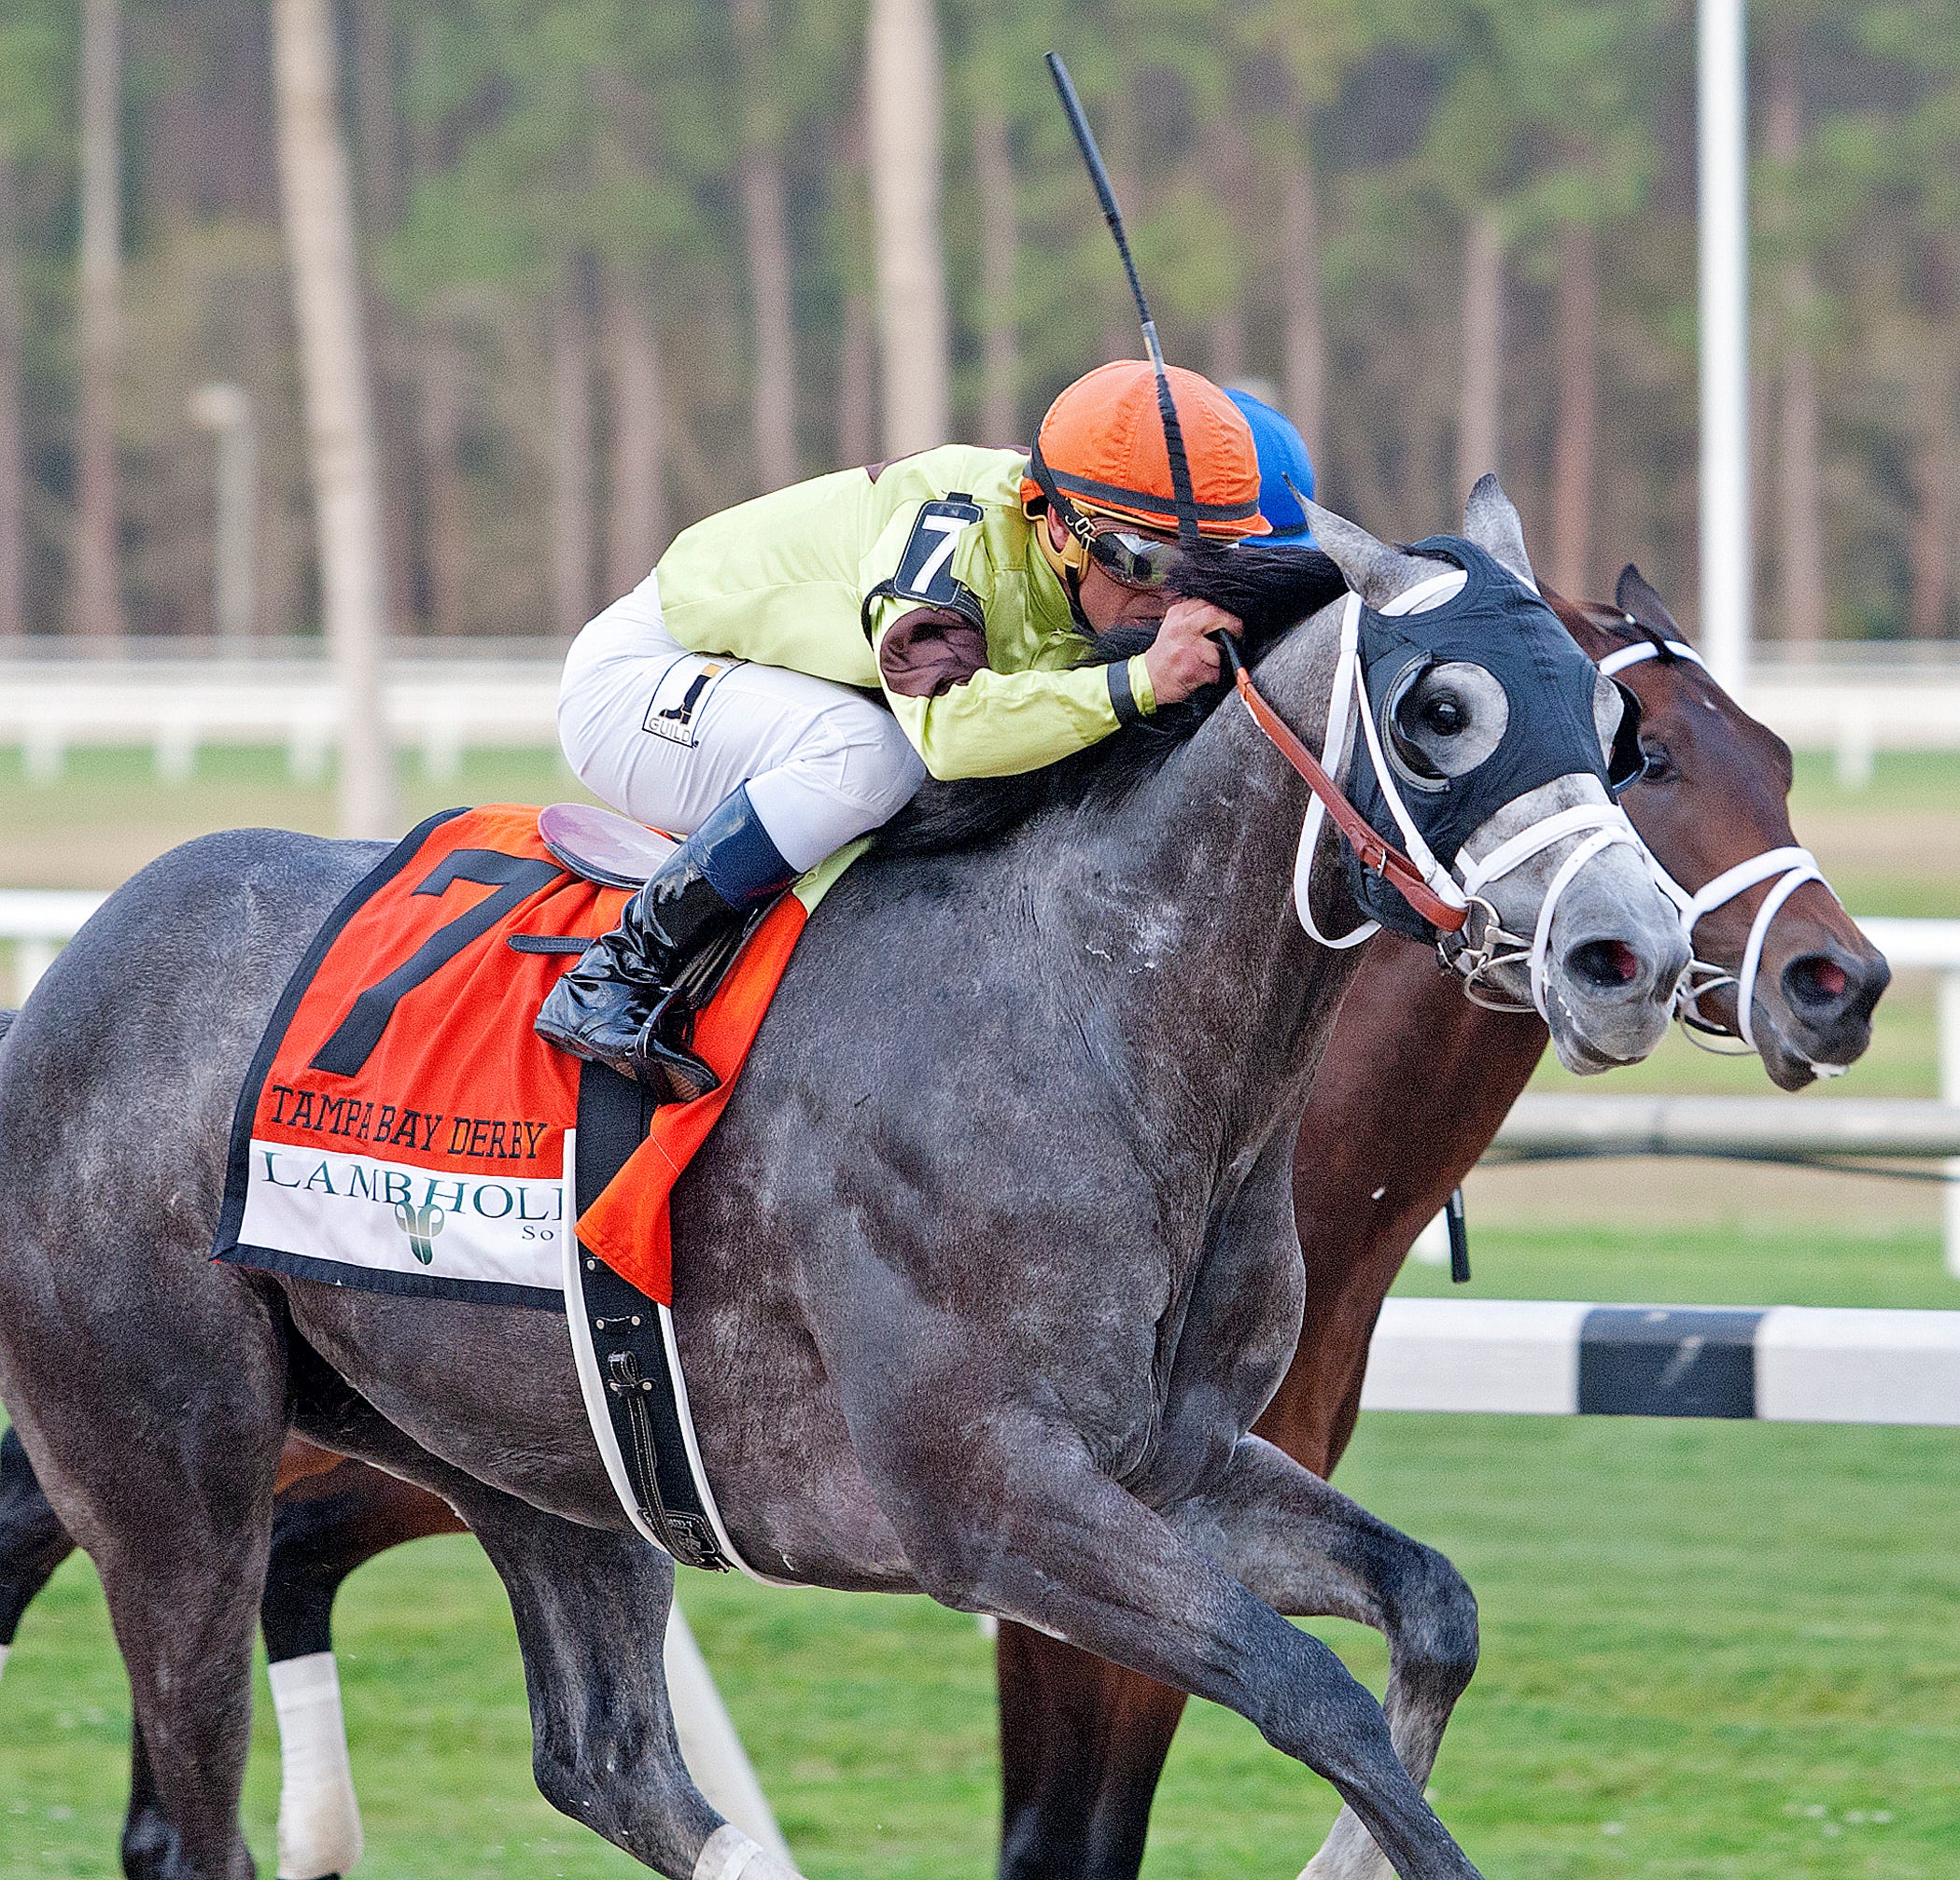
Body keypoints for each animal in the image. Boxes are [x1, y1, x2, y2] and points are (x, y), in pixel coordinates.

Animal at [0, 485, 1685, 1880]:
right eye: (1442, 706)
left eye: (1617, 724)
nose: (1636, 953)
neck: (1099, 1012)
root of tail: (66, 979)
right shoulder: (991, 1499)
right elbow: (1307, 1687)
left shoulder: (1173, 1466)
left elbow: (1435, 1606)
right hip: (172, 1472)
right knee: (195, 1803)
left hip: (529, 1456)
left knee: (607, 1759)